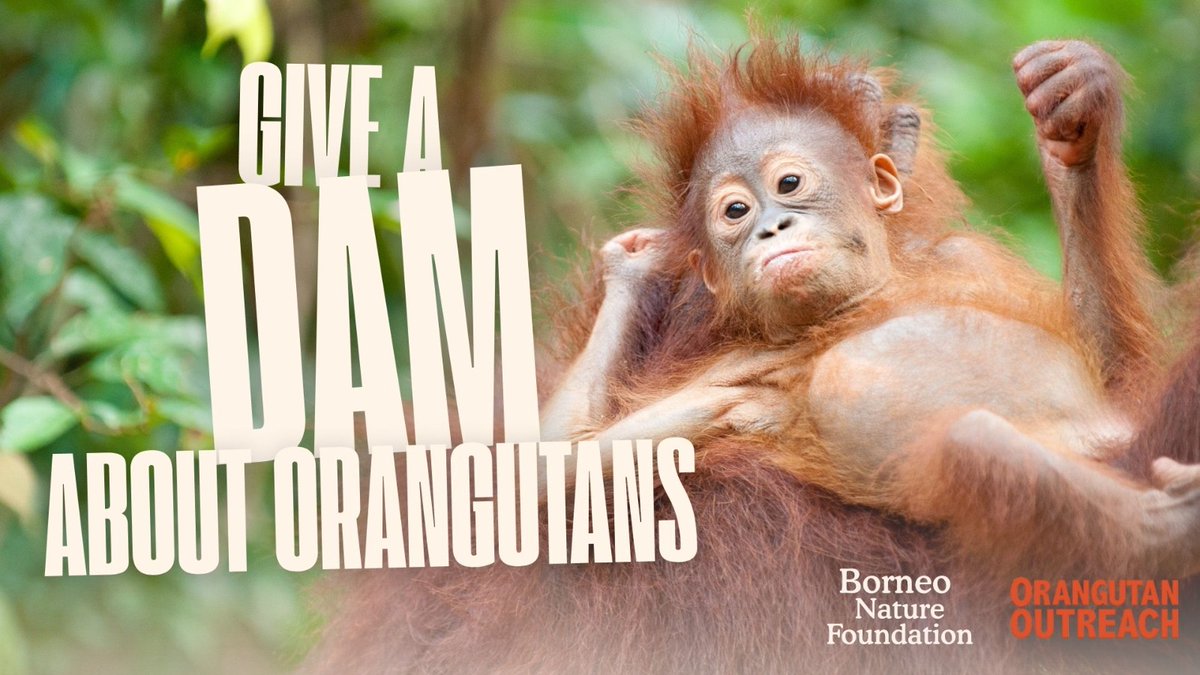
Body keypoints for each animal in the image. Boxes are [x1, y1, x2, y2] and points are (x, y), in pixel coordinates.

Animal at [539, 38, 1200, 580]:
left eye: (788, 184)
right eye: (734, 212)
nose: (772, 229)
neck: (851, 306)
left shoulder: (963, 259)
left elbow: (1110, 370)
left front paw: (1074, 112)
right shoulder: (725, 370)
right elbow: (556, 474)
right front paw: (631, 267)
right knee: (971, 439)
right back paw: (1165, 530)